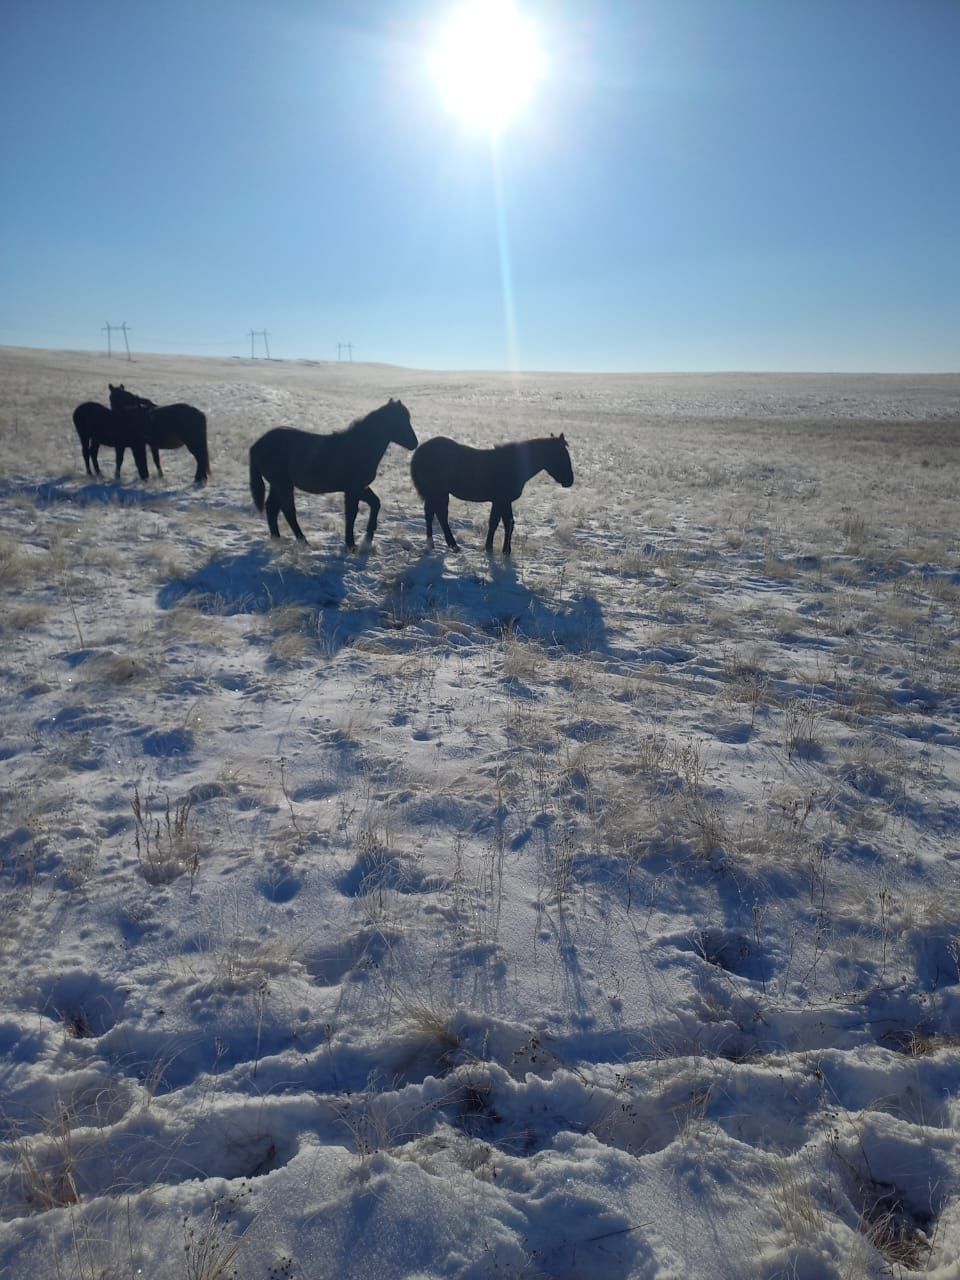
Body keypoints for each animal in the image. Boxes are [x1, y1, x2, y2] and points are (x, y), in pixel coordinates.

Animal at [248, 394, 417, 545]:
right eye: (399, 421)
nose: (414, 443)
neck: (360, 446)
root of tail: (256, 445)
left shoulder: (360, 488)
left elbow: (375, 503)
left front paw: (367, 538)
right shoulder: (353, 489)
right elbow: (351, 514)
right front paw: (351, 544)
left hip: (277, 485)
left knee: (272, 508)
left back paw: (277, 539)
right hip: (283, 484)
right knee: (288, 510)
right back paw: (303, 542)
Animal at [409, 432, 576, 552]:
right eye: (561, 455)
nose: (569, 481)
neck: (513, 464)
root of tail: (420, 451)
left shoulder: (501, 501)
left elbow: (500, 522)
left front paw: (492, 548)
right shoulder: (502, 500)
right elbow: (505, 523)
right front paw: (502, 550)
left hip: (438, 493)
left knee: (435, 515)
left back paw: (442, 544)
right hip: (437, 492)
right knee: (437, 515)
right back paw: (446, 545)